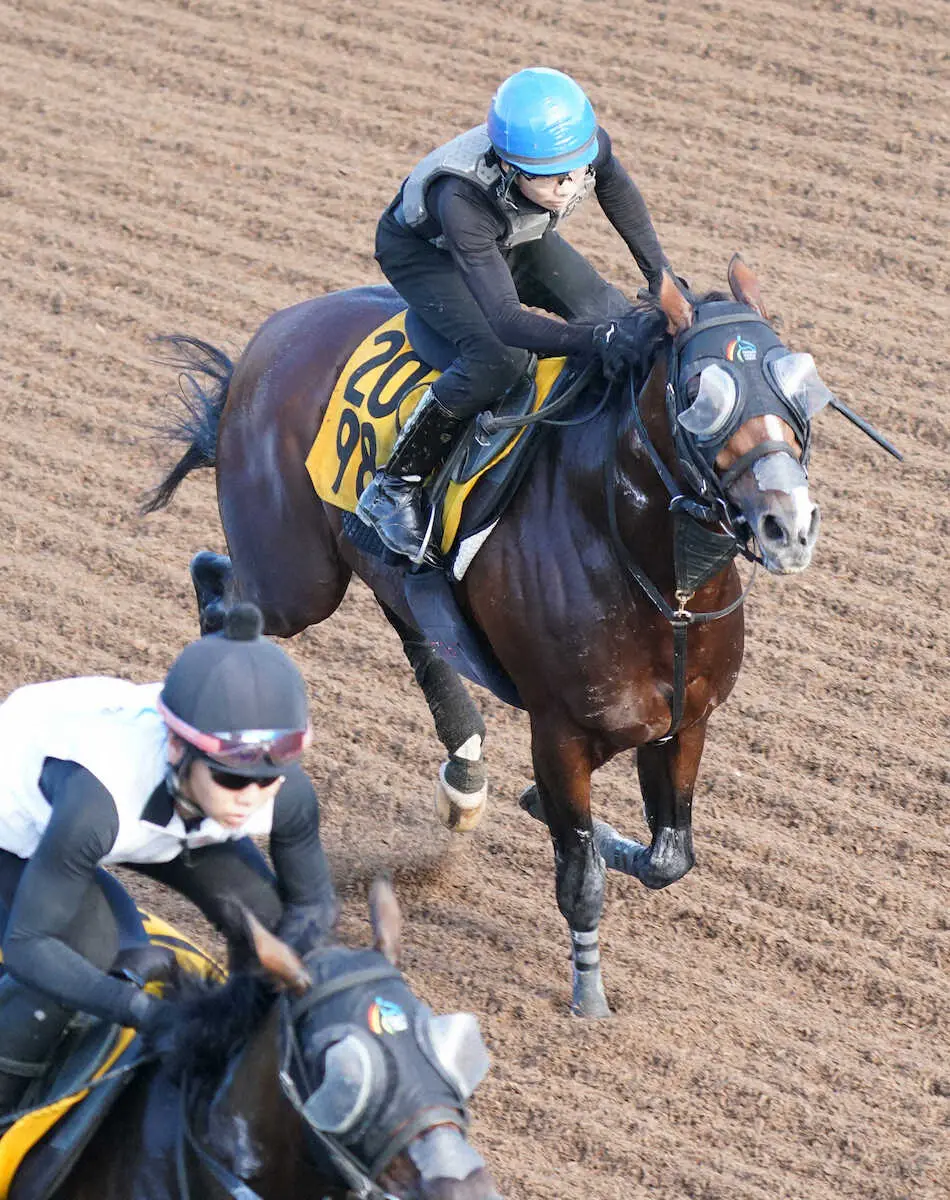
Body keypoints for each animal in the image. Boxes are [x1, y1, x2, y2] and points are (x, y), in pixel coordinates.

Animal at [144, 258, 825, 1017]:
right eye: (700, 394)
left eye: (797, 382)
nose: (788, 525)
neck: (659, 585)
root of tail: (272, 334)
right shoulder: (558, 733)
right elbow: (580, 874)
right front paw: (589, 1003)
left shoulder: (685, 722)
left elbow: (667, 859)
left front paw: (550, 815)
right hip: (295, 580)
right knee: (218, 586)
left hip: (375, 572)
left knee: (412, 630)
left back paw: (464, 777)